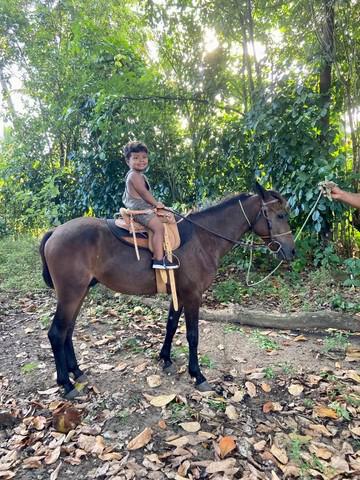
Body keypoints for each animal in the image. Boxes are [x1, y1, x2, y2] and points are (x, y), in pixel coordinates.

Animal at [39, 182, 294, 400]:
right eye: (280, 215)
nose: (292, 251)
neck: (203, 238)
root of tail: (54, 232)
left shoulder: (179, 293)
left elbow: (171, 325)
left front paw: (166, 359)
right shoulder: (193, 295)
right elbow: (192, 335)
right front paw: (197, 375)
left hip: (79, 293)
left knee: (68, 331)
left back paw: (76, 372)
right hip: (71, 294)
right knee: (57, 333)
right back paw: (66, 383)